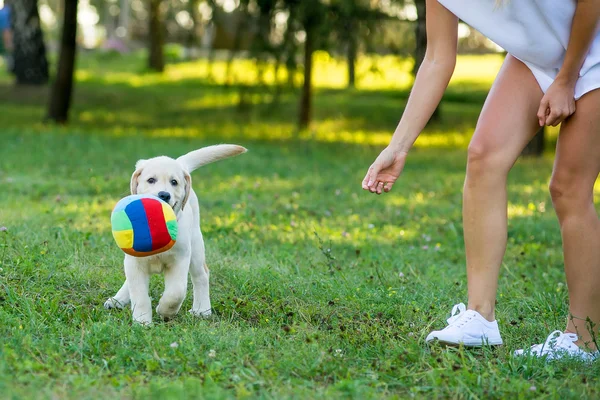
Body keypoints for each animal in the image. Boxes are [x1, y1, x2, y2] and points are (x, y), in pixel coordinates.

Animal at [105, 145, 246, 324]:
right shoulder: (135, 261)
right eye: (151, 180)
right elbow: (139, 293)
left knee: (202, 275)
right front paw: (142, 321)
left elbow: (176, 293)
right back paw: (118, 299)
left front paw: (165, 311)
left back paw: (202, 310)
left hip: (196, 246)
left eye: (174, 182)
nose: (164, 195)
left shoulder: (180, 259)